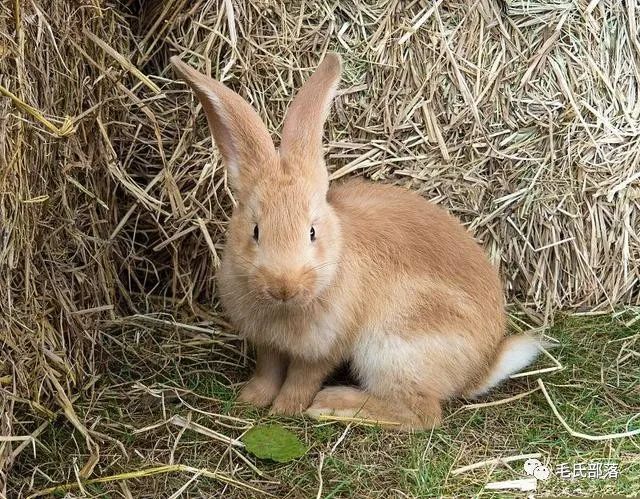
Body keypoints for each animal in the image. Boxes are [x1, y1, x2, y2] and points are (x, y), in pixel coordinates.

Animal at [170, 52, 540, 432]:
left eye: (312, 232)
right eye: (255, 231)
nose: (283, 286)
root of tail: (480, 368)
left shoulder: (326, 347)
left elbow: (302, 378)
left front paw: (286, 409)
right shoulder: (268, 346)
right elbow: (268, 371)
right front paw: (251, 400)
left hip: (393, 350)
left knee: (422, 414)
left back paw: (332, 404)